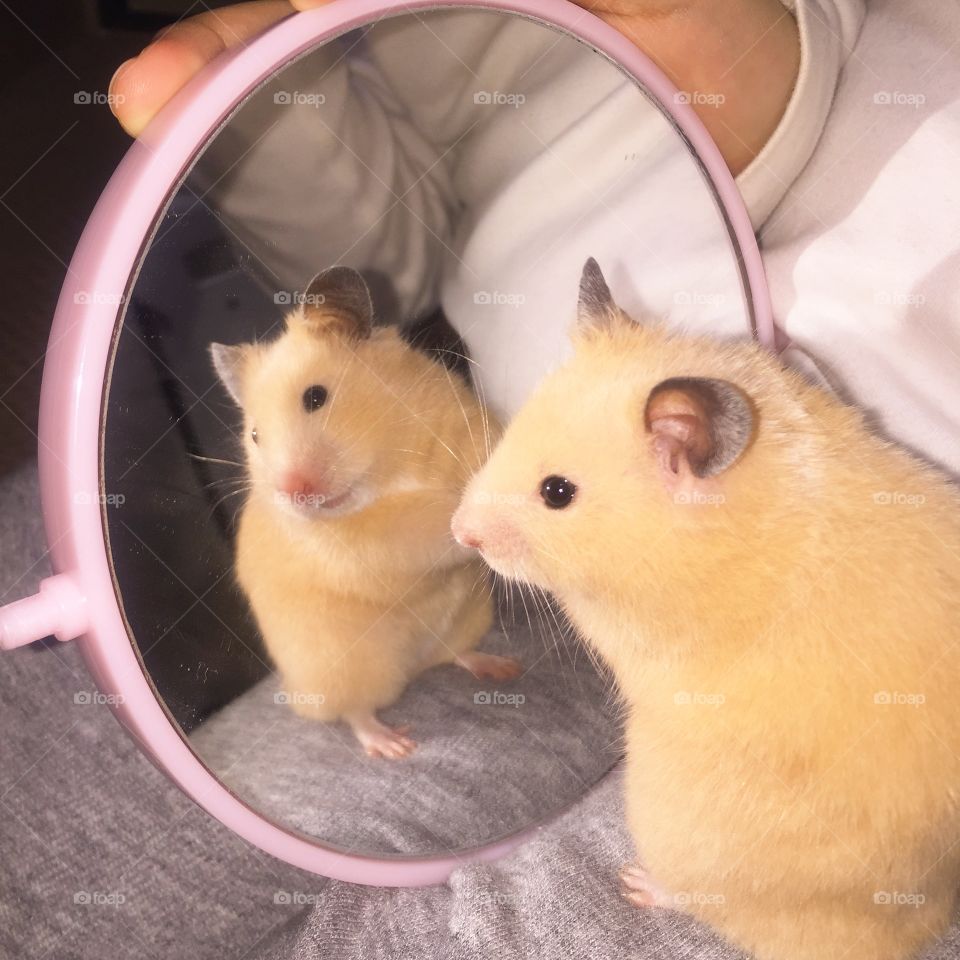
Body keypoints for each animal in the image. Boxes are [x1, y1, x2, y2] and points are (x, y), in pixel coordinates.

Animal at [210, 265, 520, 759]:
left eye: (316, 397)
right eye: (255, 435)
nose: (293, 493)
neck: (388, 470)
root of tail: (413, 669)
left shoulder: (467, 426)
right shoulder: (372, 545)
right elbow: (425, 532)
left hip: (469, 619)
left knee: (457, 654)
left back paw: (502, 668)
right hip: (340, 673)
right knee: (356, 712)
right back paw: (393, 745)